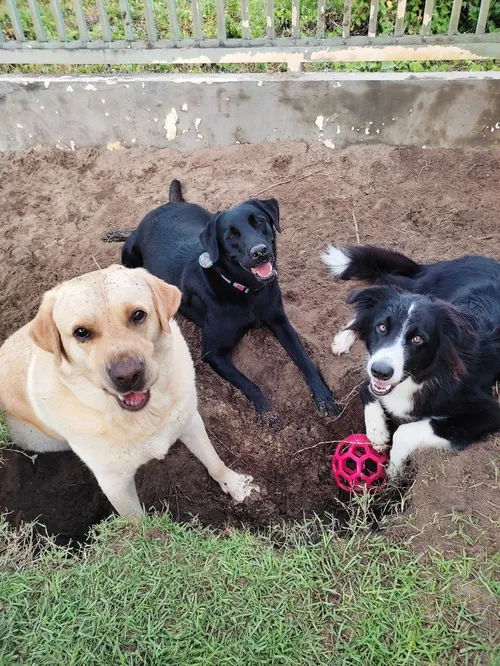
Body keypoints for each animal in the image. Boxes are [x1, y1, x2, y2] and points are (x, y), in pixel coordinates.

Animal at [0, 264, 258, 512]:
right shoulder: (114, 483)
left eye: (138, 315)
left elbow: (214, 461)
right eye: (81, 332)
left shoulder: (189, 420)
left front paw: (235, 484)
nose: (128, 375)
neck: (145, 417)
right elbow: (137, 521)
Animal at [105, 180, 340, 426]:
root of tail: (166, 205)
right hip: (129, 254)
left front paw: (323, 396)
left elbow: (305, 360)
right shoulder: (212, 354)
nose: (260, 252)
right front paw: (268, 412)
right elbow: (250, 383)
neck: (246, 291)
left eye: (260, 222)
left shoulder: (279, 320)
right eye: (230, 236)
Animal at [322, 246, 500, 474]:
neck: (420, 376)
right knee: (374, 298)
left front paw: (393, 471)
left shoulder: (489, 412)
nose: (380, 371)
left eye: (418, 339)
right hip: (419, 289)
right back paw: (343, 338)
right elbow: (365, 387)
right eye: (381, 327)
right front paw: (377, 432)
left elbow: (405, 431)